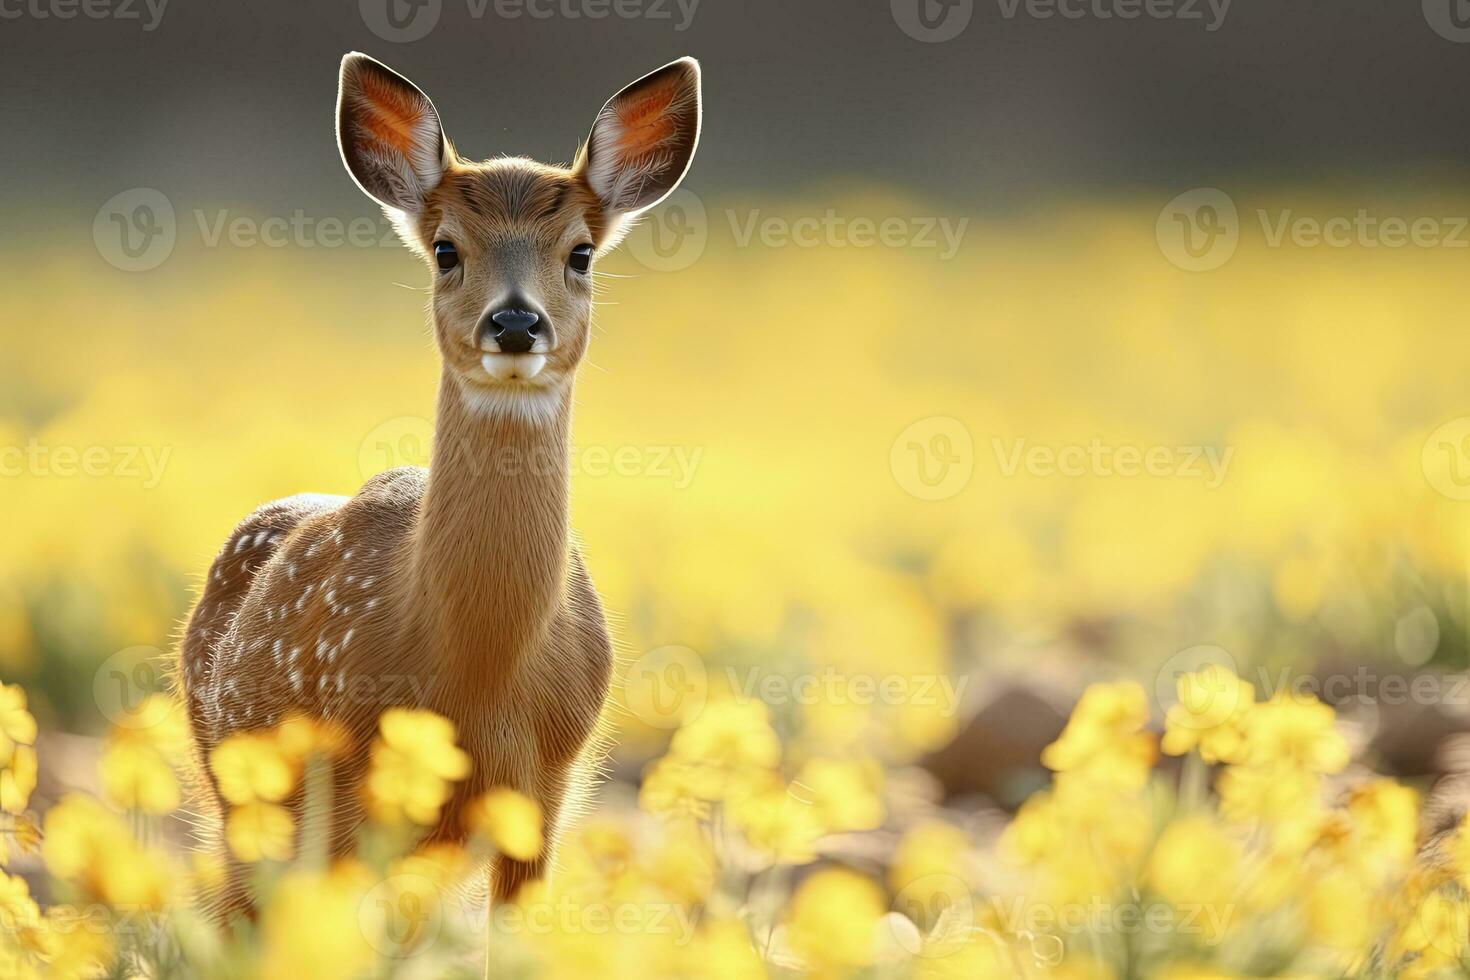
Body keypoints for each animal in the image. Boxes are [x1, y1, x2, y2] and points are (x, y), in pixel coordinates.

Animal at [177, 49, 705, 916]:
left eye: (581, 253)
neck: (479, 674)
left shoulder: (543, 792)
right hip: (249, 797)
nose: (516, 323)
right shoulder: (349, 792)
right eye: (447, 249)